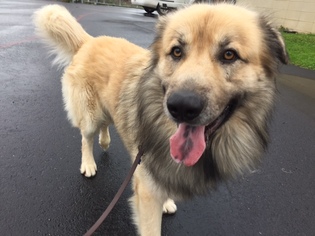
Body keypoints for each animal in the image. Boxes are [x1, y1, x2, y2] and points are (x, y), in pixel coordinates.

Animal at [34, 3, 288, 234]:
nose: (181, 107)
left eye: (229, 55)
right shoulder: (146, 194)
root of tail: (89, 41)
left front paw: (167, 201)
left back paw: (105, 142)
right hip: (90, 115)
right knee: (85, 138)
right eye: (176, 52)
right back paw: (88, 164)